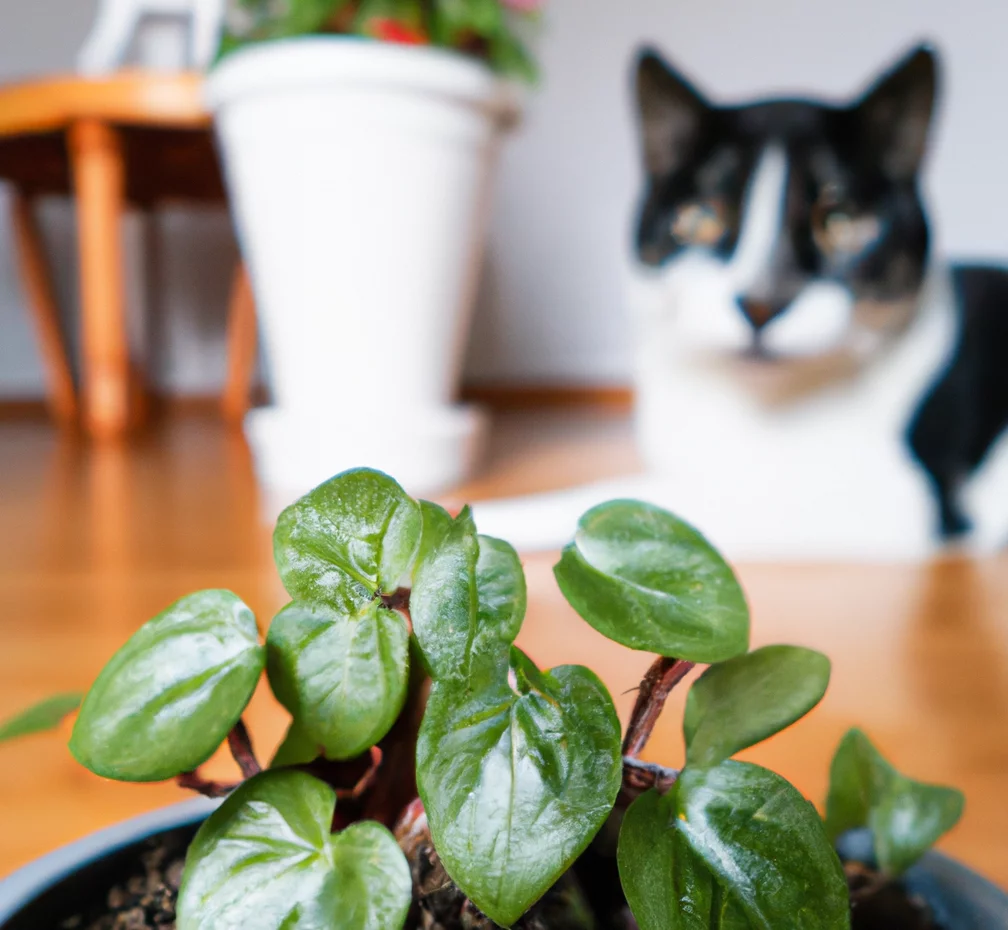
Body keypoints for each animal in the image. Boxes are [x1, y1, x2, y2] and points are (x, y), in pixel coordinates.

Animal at [473, 43, 1008, 556]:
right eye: (701, 217)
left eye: (842, 222)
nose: (761, 307)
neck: (752, 406)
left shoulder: (893, 505)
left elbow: (629, 505)